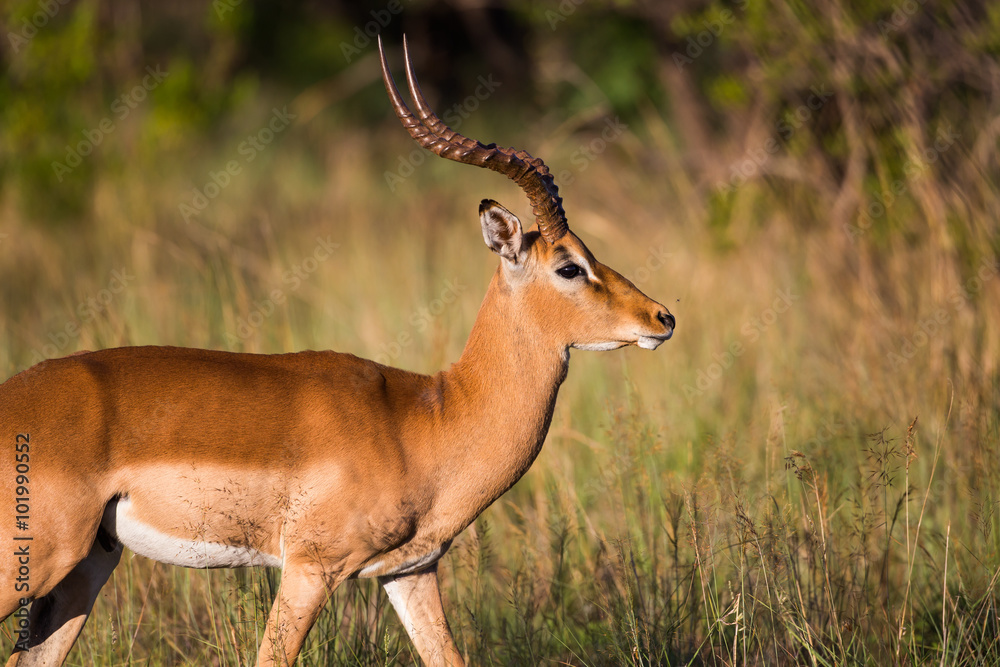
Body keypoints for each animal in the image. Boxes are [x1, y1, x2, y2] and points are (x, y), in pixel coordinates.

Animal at [0, 37, 674, 666]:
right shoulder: (310, 568)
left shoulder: (411, 572)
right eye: (570, 266)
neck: (429, 419)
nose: (662, 318)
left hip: (85, 568)